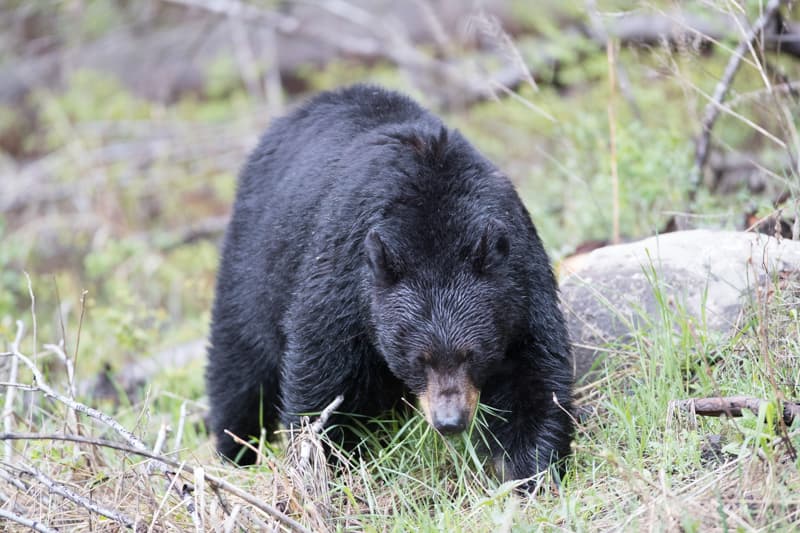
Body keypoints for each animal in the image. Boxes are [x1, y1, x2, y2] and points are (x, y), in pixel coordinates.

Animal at [206, 84, 574, 485]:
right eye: (418, 359)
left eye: (473, 354)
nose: (450, 421)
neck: (435, 222)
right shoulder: (344, 278)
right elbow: (319, 376)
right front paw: (323, 466)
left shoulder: (521, 274)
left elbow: (534, 370)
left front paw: (530, 470)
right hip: (251, 266)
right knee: (239, 366)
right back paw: (234, 452)